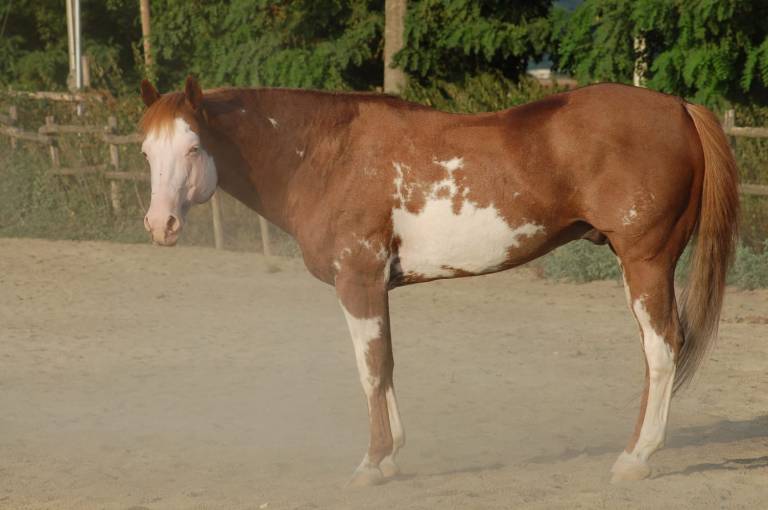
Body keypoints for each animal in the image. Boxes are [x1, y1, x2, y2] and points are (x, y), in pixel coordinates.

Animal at [138, 76, 738, 486]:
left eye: (193, 147)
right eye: (146, 151)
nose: (160, 225)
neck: (327, 155)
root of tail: (679, 107)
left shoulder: (357, 282)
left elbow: (370, 370)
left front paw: (371, 464)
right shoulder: (376, 287)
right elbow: (387, 366)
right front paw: (391, 457)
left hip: (646, 262)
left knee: (661, 350)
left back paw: (636, 459)